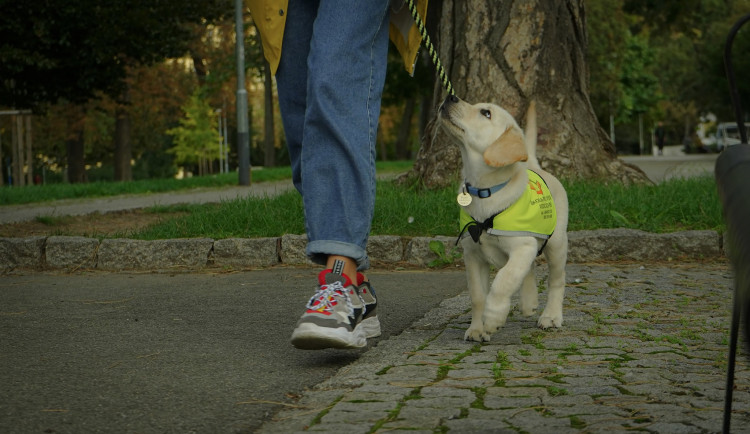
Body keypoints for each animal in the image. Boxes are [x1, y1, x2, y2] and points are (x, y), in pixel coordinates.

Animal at [438, 96, 568, 342]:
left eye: (486, 113)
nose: (450, 97)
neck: (485, 192)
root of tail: (533, 165)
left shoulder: (522, 246)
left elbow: (503, 280)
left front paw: (493, 318)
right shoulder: (473, 255)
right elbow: (477, 295)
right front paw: (476, 329)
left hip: (556, 244)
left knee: (556, 279)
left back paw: (551, 316)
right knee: (529, 270)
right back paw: (528, 302)